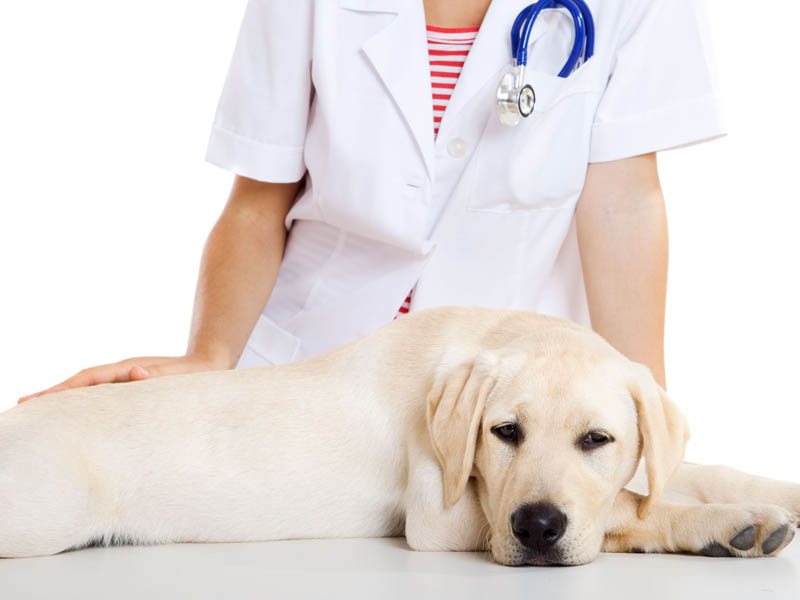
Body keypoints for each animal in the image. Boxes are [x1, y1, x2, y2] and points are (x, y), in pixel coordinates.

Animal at [1, 307, 797, 564]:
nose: (537, 530)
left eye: (597, 440)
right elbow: (629, 511)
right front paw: (727, 525)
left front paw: (768, 494)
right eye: (504, 432)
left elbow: (686, 474)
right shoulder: (442, 518)